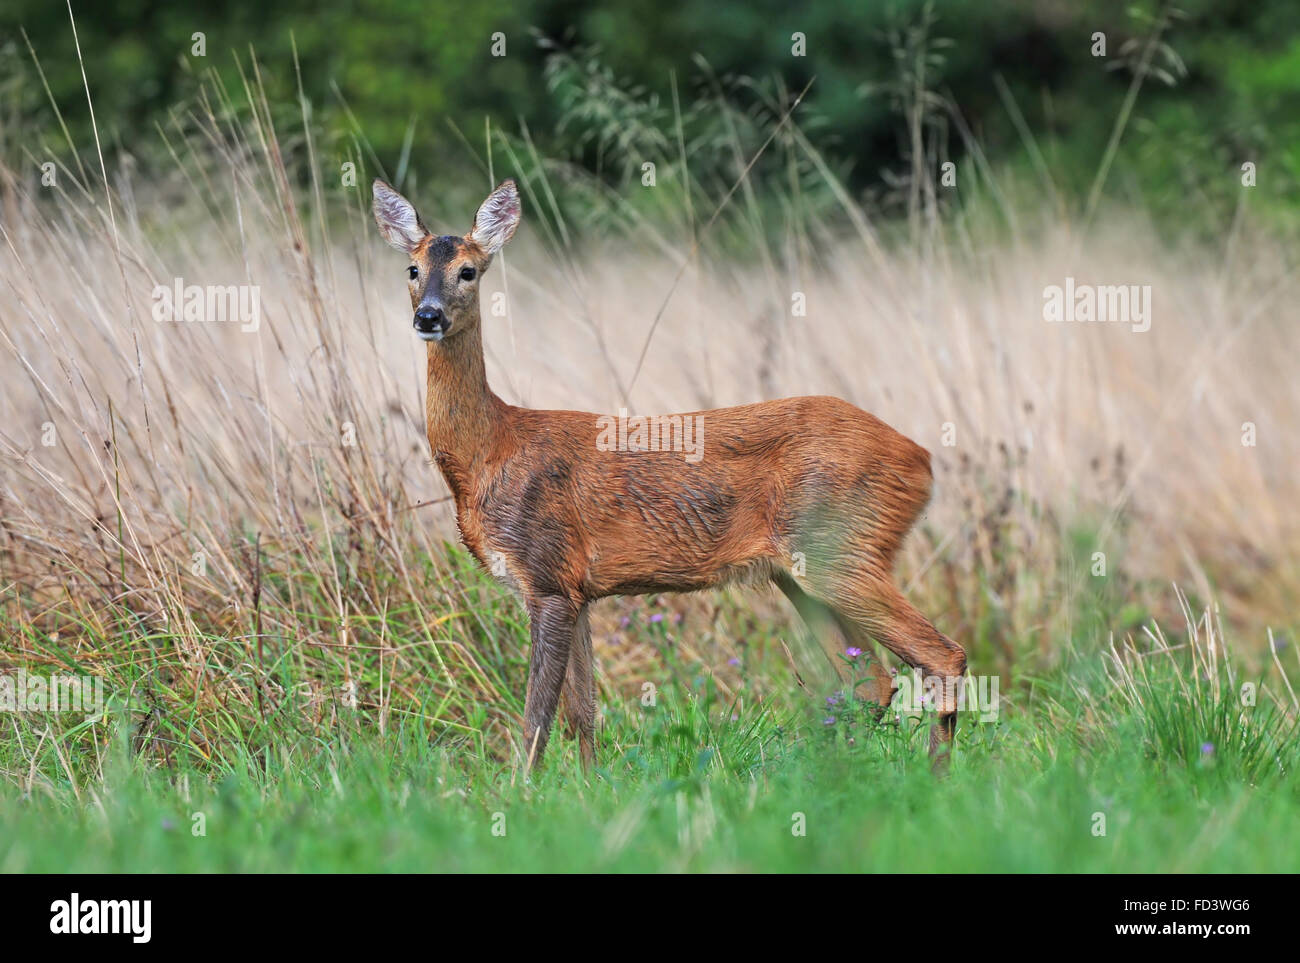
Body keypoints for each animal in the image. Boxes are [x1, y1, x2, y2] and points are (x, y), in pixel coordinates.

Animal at [374, 176, 967, 769]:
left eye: (468, 271)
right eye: (411, 268)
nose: (428, 317)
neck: (489, 453)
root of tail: (922, 459)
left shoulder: (545, 575)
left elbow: (536, 720)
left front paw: (524, 787)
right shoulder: (576, 590)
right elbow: (582, 714)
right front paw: (587, 786)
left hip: (843, 550)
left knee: (942, 657)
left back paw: (931, 778)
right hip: (801, 571)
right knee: (872, 681)